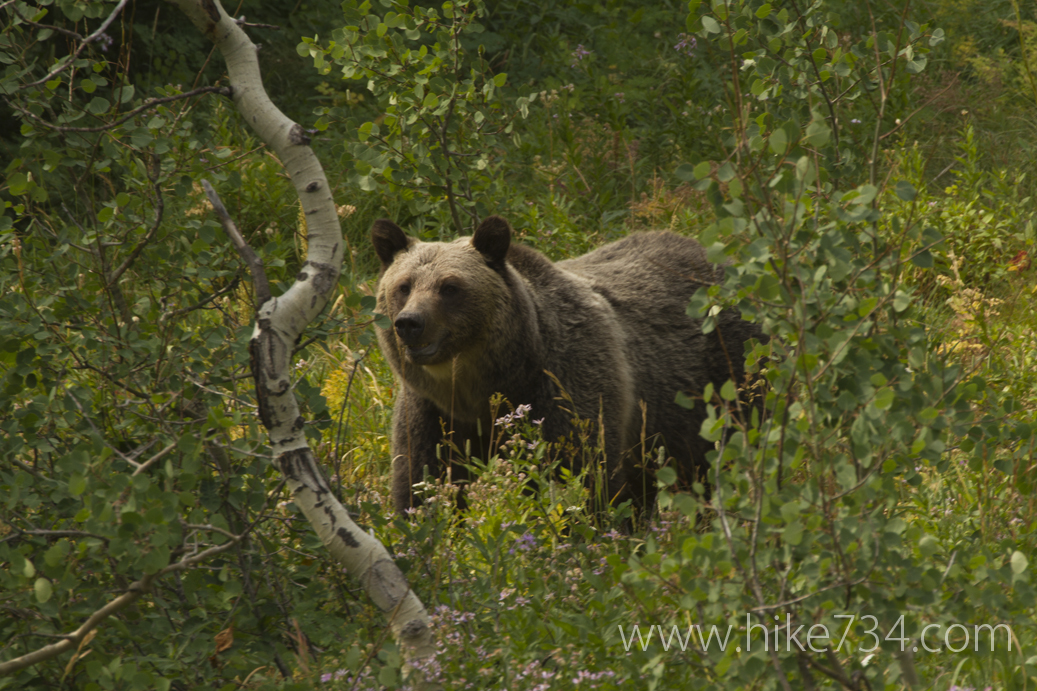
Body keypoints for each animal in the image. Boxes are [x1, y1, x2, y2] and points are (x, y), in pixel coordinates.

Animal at [371, 215, 765, 515]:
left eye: (450, 287)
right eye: (404, 286)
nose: (410, 323)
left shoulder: (565, 384)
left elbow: (577, 474)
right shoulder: (432, 411)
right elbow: (421, 479)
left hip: (725, 376)